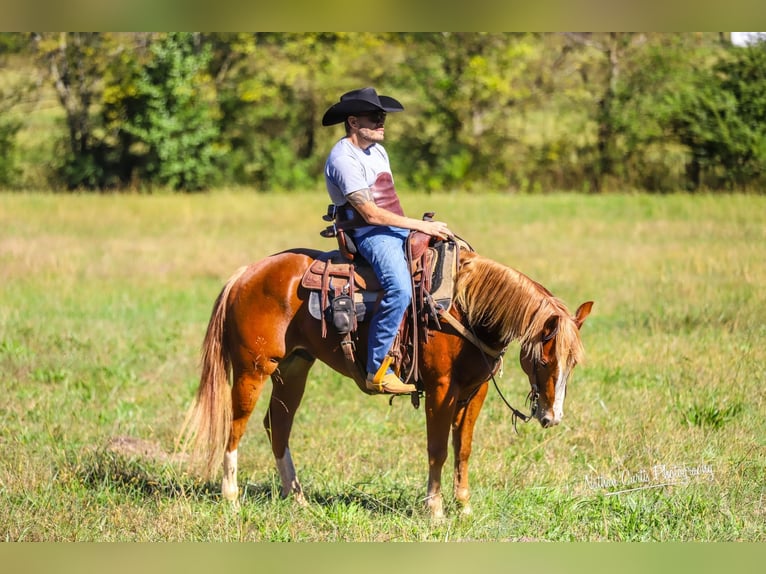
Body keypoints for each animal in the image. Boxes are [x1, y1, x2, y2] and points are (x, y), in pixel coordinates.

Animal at [178, 248, 592, 520]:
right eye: (544, 359)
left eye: (572, 363)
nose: (552, 417)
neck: (463, 308)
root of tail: (246, 274)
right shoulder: (441, 389)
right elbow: (437, 450)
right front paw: (435, 510)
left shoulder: (476, 391)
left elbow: (463, 450)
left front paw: (464, 506)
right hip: (253, 369)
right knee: (236, 425)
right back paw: (231, 497)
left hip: (294, 368)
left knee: (277, 426)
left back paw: (296, 498)